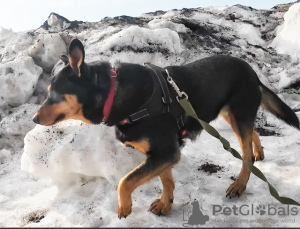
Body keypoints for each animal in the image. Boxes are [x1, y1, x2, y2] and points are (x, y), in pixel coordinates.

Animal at [31, 38, 298, 217]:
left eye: (54, 95)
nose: (33, 119)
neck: (114, 95)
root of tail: (252, 72)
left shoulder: (165, 152)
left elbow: (125, 181)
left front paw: (124, 206)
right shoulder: (161, 154)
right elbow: (166, 179)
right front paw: (165, 203)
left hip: (238, 113)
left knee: (245, 153)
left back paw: (240, 184)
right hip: (230, 114)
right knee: (252, 133)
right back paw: (258, 151)